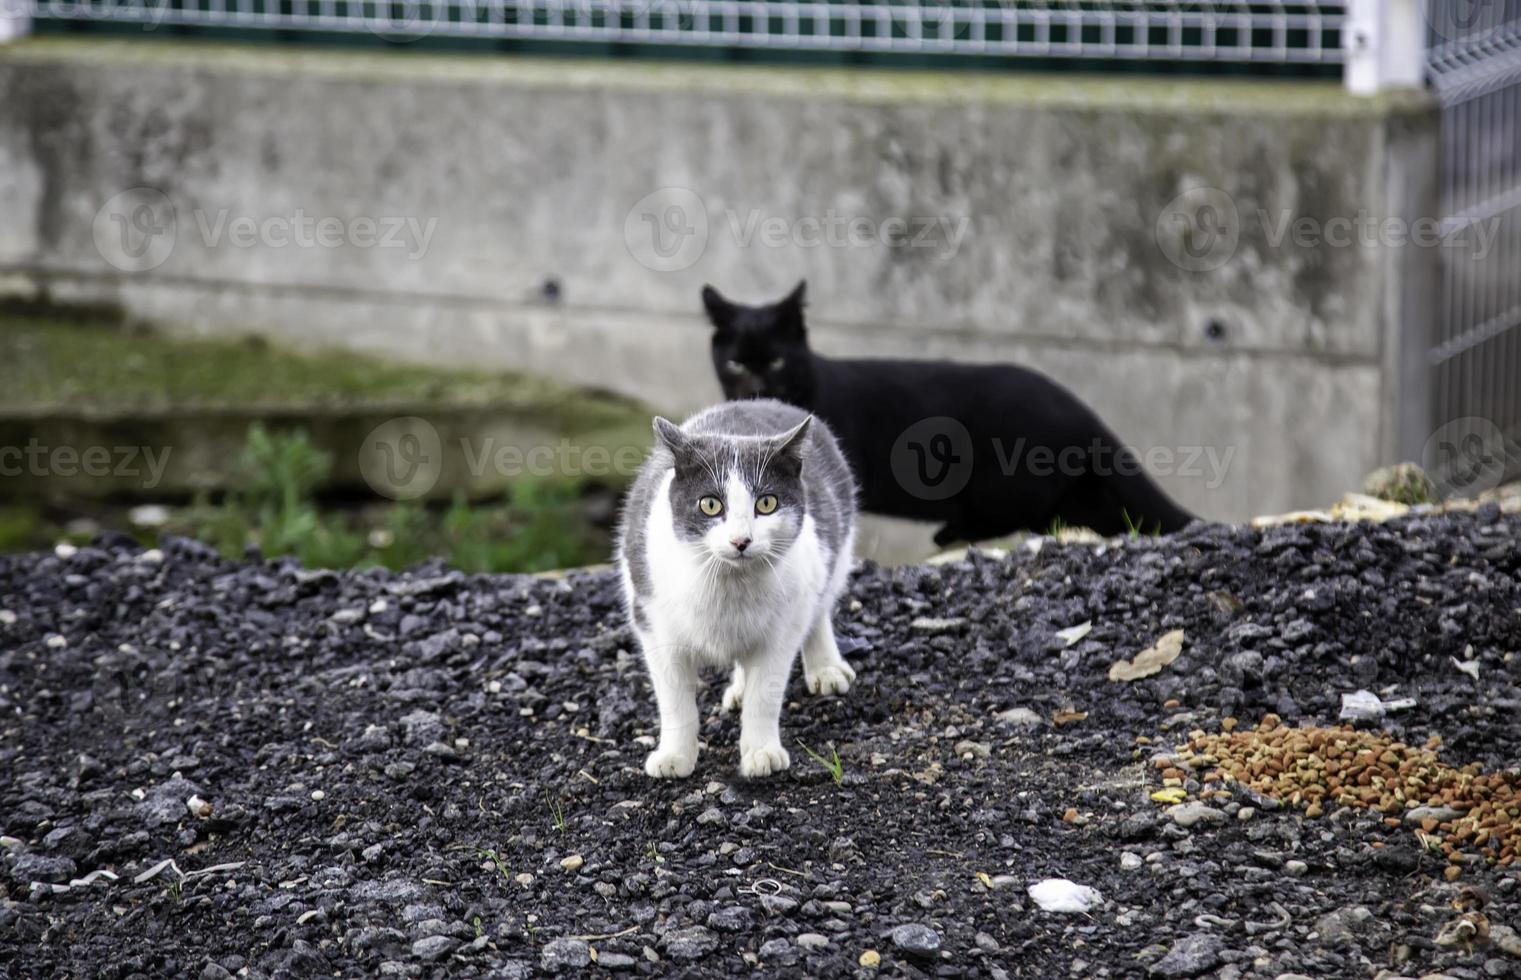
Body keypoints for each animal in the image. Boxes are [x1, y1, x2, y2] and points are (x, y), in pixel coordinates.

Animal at [614, 398, 857, 779]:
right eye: (710, 504)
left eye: (767, 503)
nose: (741, 540)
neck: (729, 585)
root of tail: (764, 401)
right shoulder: (653, 622)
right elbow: (675, 700)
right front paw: (675, 756)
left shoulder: (783, 629)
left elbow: (766, 693)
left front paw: (761, 753)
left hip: (833, 557)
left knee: (818, 612)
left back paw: (826, 669)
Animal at [702, 281, 1198, 544]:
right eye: (736, 363)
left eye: (776, 361)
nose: (756, 386)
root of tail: (1081, 409)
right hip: (1081, 497)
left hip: (1007, 481)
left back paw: (950, 533)